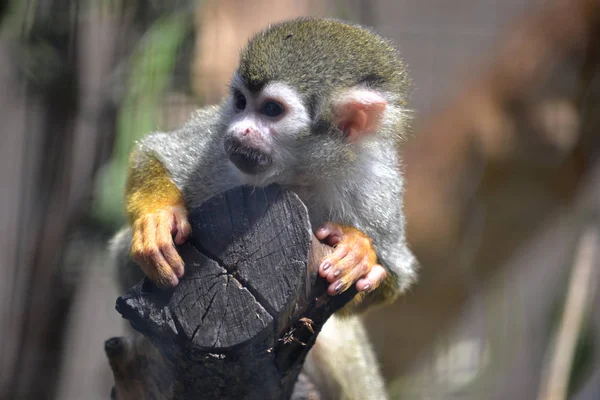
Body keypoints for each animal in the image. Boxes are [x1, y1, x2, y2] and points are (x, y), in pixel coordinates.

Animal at [110, 18, 418, 400]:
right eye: (241, 102)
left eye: (272, 110)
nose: (239, 130)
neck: (298, 173)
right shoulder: (218, 143)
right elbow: (152, 152)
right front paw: (158, 218)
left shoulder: (375, 184)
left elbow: (395, 274)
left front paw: (361, 254)